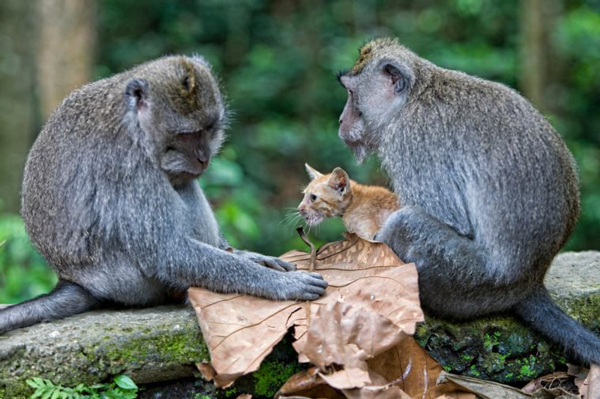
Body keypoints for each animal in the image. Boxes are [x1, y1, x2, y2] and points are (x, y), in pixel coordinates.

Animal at [0, 54, 328, 334]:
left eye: (208, 128)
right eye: (185, 135)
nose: (203, 156)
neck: (134, 122)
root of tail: (75, 281)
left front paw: (248, 256)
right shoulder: (128, 165)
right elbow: (167, 252)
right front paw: (282, 284)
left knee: (182, 182)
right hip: (129, 283)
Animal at [338, 37, 600, 366]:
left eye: (351, 94)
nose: (341, 119)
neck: (413, 98)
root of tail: (531, 281)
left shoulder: (412, 142)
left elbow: (451, 220)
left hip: (471, 281)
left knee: (407, 223)